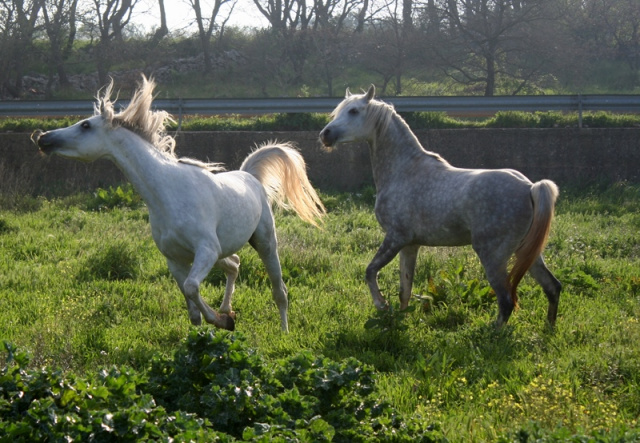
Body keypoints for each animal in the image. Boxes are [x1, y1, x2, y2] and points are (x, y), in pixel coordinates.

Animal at [33, 77, 324, 332]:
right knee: (235, 263)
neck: (167, 194)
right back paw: (227, 307)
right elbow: (191, 306)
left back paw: (283, 332)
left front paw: (223, 322)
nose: (43, 138)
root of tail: (249, 176)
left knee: (279, 290)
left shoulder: (205, 250)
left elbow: (192, 288)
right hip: (221, 252)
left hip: (264, 242)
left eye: (85, 125)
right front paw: (208, 333)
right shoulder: (175, 259)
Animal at [320, 86, 560, 328]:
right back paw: (548, 329)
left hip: (493, 256)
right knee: (553, 287)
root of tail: (530, 187)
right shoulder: (410, 245)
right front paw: (401, 320)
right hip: (527, 253)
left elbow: (370, 271)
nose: (325, 135)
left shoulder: (396, 238)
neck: (404, 171)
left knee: (506, 301)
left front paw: (381, 304)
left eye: (353, 111)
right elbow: (405, 289)